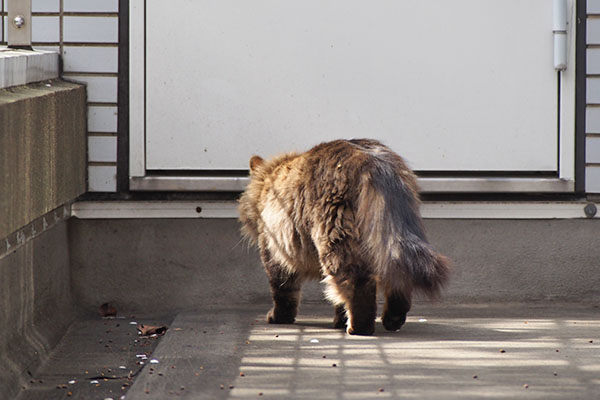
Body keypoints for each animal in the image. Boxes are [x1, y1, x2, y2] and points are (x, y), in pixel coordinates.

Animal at [237, 139, 448, 336]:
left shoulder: (275, 252)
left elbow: (283, 292)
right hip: (385, 241)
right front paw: (339, 320)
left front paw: (279, 317)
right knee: (396, 278)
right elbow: (337, 300)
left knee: (356, 284)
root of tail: (372, 160)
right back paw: (392, 319)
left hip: (335, 240)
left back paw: (359, 328)